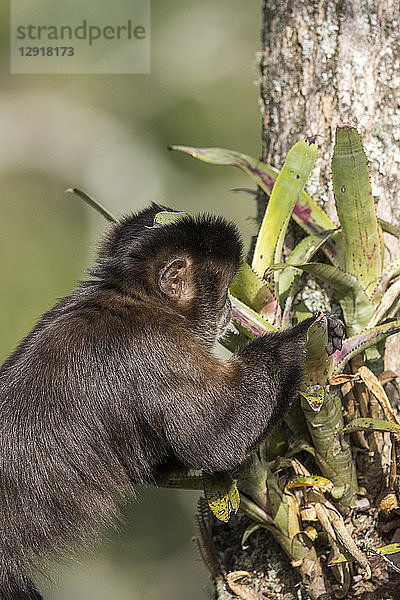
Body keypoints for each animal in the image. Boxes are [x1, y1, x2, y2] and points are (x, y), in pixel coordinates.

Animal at [0, 204, 344, 596]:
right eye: (223, 291)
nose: (230, 305)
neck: (136, 299)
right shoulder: (156, 346)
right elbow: (218, 441)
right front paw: (304, 336)